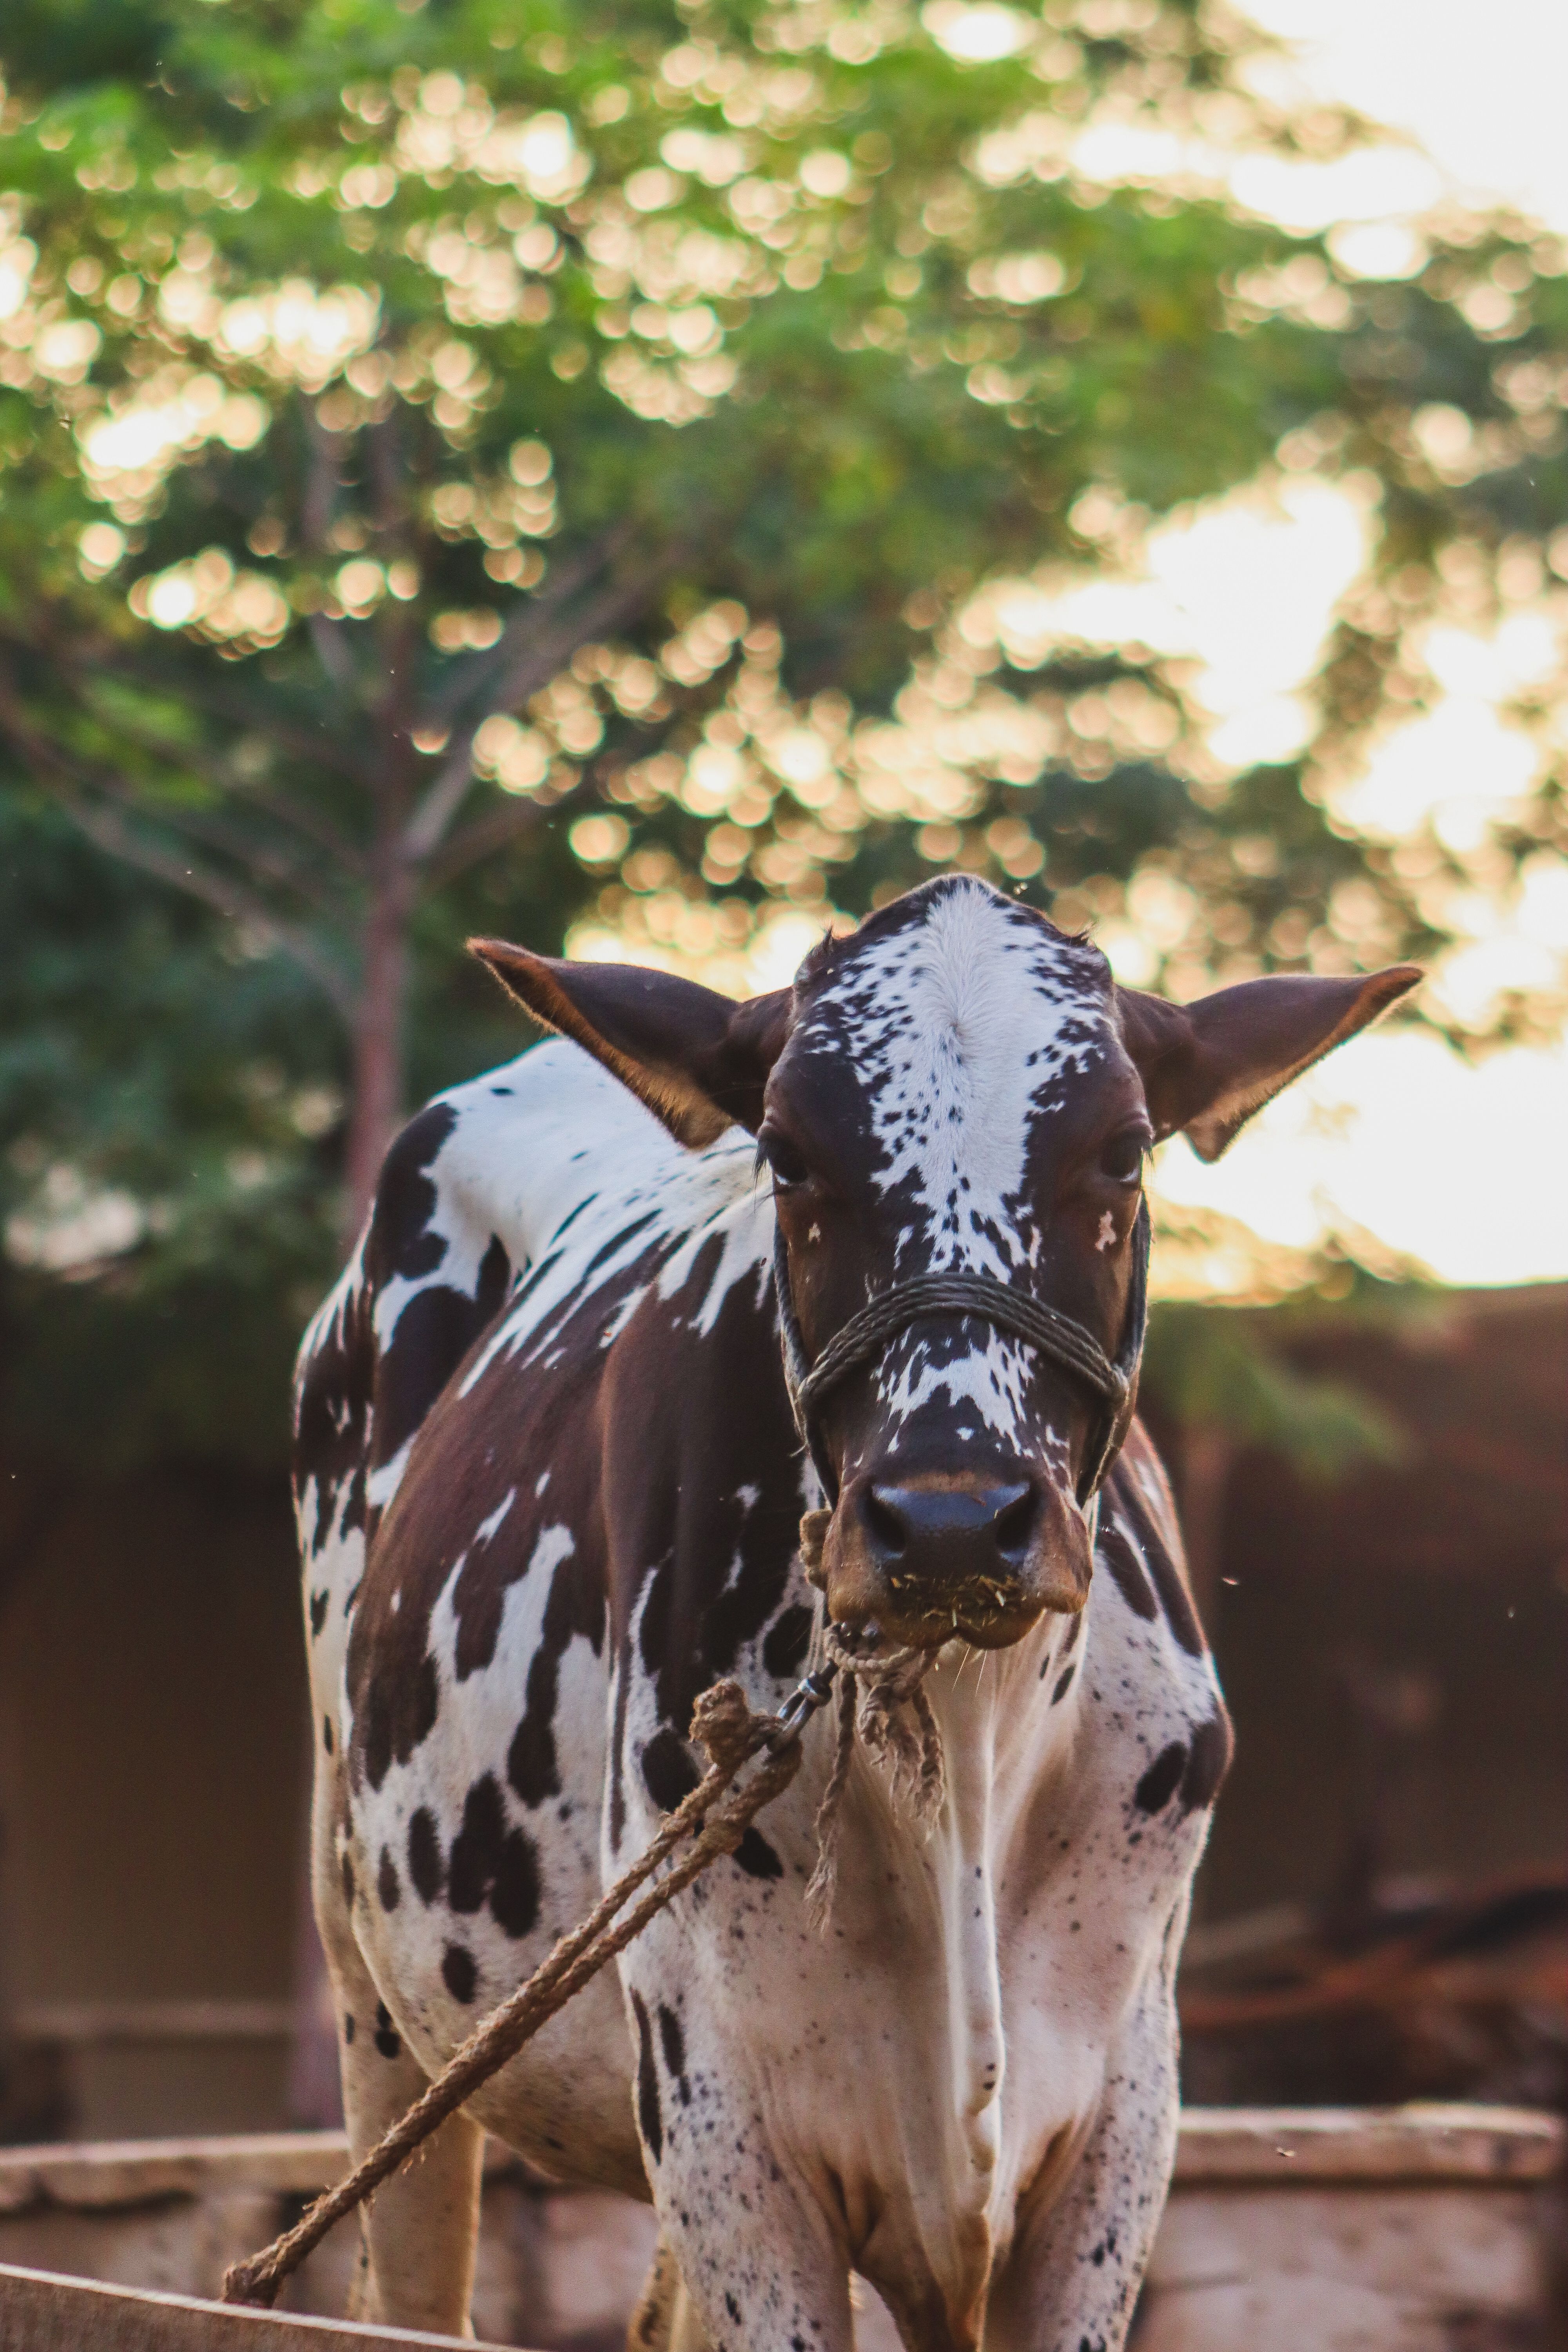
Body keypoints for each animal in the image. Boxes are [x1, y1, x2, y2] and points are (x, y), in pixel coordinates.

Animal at [294, 874, 1417, 2350]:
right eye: (786, 1152)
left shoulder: (1120, 2123)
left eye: (1123, 1153)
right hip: (376, 1989)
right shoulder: (729, 2133)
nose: (950, 1516)